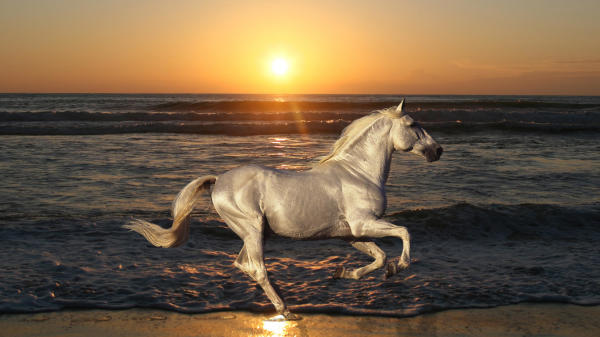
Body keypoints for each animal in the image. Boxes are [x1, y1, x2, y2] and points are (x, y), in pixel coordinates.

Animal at [124, 99, 442, 318]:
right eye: (413, 125)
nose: (437, 151)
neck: (358, 172)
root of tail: (219, 180)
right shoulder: (363, 224)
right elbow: (404, 232)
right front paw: (399, 267)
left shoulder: (351, 234)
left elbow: (378, 257)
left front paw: (344, 273)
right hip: (252, 229)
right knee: (257, 268)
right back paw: (285, 308)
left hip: (255, 233)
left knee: (243, 264)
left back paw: (283, 300)